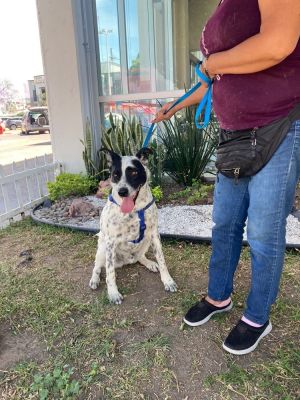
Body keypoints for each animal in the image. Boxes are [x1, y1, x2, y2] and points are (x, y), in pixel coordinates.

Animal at [89, 148, 178, 304]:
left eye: (134, 173)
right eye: (115, 175)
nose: (122, 192)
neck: (134, 209)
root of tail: (126, 261)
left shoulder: (154, 234)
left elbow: (162, 260)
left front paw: (168, 281)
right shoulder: (110, 242)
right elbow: (110, 273)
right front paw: (113, 293)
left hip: (146, 242)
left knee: (139, 257)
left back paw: (149, 263)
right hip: (102, 248)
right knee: (98, 266)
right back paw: (94, 279)